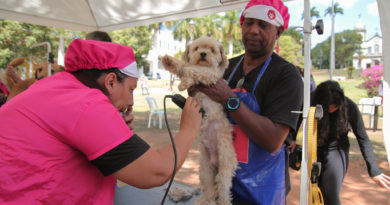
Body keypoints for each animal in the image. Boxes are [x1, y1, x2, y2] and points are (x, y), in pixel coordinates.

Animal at [162, 36, 238, 204]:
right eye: (197, 49)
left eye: (212, 50)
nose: (203, 54)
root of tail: (215, 162)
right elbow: (186, 66)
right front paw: (170, 62)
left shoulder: (211, 74)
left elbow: (192, 69)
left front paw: (183, 80)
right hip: (205, 169)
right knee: (209, 189)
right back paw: (203, 200)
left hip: (225, 165)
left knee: (223, 189)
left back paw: (223, 201)